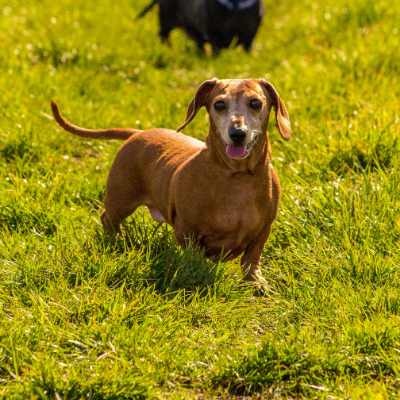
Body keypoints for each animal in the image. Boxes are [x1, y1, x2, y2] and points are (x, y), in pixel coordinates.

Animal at [138, 0, 266, 53]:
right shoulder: (214, 33)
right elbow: (216, 50)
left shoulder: (250, 35)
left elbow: (248, 48)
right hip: (167, 19)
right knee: (163, 35)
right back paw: (169, 48)